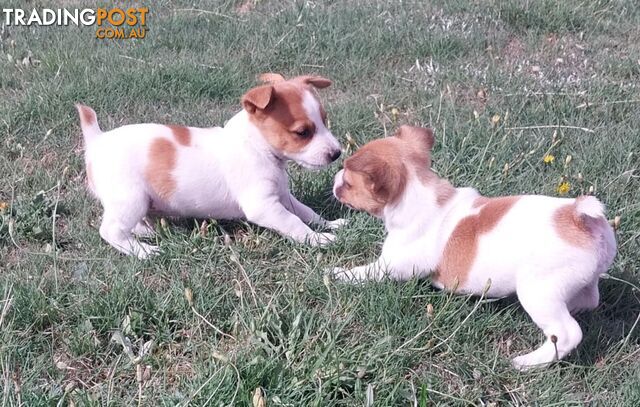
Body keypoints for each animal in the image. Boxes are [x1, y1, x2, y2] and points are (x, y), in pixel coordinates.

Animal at [78, 73, 348, 258]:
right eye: (302, 132)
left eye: (325, 121)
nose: (337, 153)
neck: (255, 146)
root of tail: (97, 140)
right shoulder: (264, 206)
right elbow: (295, 224)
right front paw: (321, 239)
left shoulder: (283, 196)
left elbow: (307, 213)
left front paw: (331, 224)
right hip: (130, 199)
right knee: (111, 231)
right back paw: (143, 251)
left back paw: (147, 232)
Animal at [330, 126, 616, 372]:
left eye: (348, 182)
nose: (334, 178)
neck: (419, 190)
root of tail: (578, 216)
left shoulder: (392, 265)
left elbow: (364, 273)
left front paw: (337, 274)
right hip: (575, 281)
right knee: (589, 300)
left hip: (538, 291)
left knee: (567, 333)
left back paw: (528, 362)